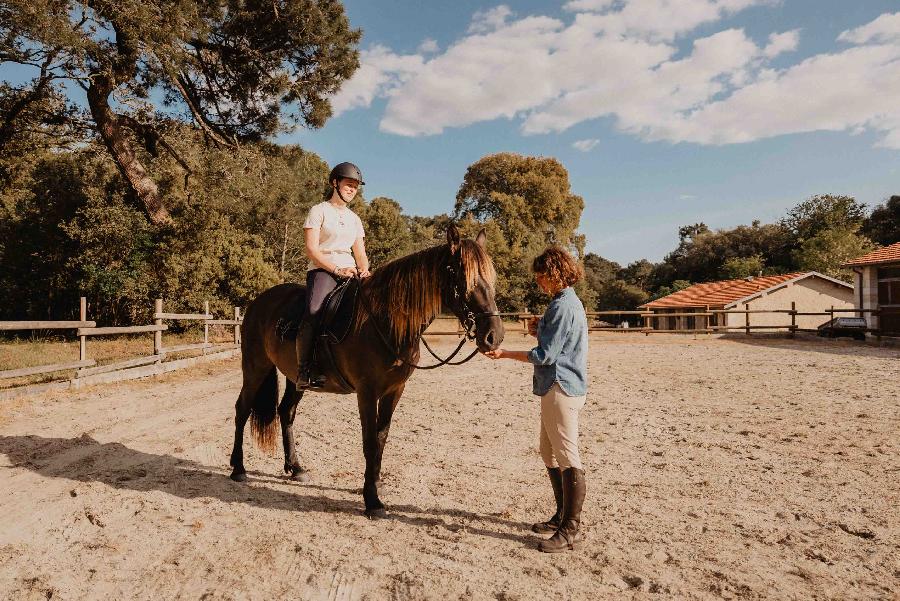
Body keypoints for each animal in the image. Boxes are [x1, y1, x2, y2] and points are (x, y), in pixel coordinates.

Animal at [229, 224, 502, 516]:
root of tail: (257, 303)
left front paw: (376, 482)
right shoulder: (367, 392)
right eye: (463, 277)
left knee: (286, 412)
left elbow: (381, 437)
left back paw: (296, 468)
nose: (494, 336)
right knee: (242, 409)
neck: (384, 322)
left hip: (295, 378)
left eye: (490, 277)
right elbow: (369, 441)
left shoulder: (395, 390)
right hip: (255, 367)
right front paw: (372, 500)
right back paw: (238, 468)